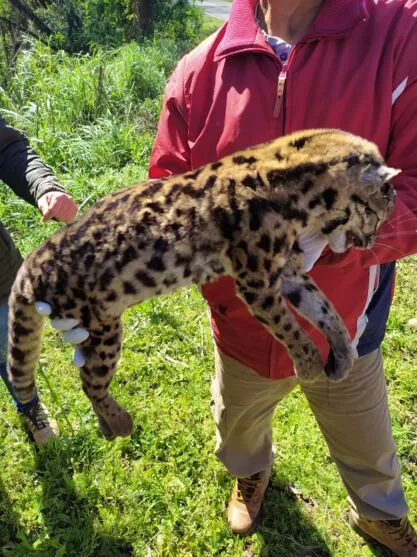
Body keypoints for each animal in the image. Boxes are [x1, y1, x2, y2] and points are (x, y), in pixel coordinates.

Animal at [7, 129, 396, 438]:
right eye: (378, 215)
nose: (370, 243)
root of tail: (30, 264)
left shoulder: (290, 272)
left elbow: (326, 311)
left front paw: (342, 355)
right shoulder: (257, 281)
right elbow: (291, 330)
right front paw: (310, 365)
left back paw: (108, 425)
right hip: (100, 327)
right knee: (90, 381)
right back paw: (118, 422)